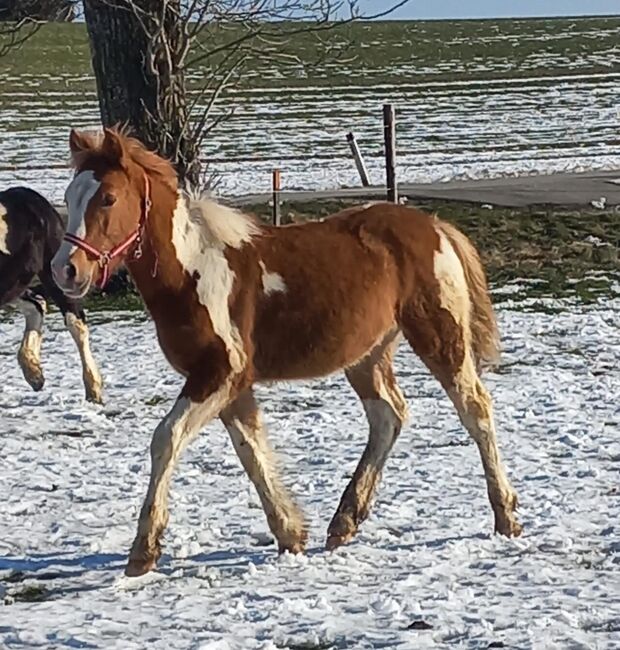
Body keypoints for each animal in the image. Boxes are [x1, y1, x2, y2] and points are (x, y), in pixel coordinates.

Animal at [0, 185, 101, 402]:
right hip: (14, 286)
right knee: (37, 305)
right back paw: (34, 374)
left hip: (54, 275)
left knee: (76, 323)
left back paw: (93, 389)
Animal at [50, 126, 520, 572]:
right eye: (69, 196)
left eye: (108, 198)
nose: (65, 269)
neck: (193, 272)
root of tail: (437, 227)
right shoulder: (230, 384)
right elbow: (251, 451)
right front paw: (290, 534)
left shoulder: (220, 373)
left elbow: (167, 438)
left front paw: (143, 551)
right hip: (366, 355)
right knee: (389, 415)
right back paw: (344, 521)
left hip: (440, 335)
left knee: (475, 409)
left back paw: (506, 517)